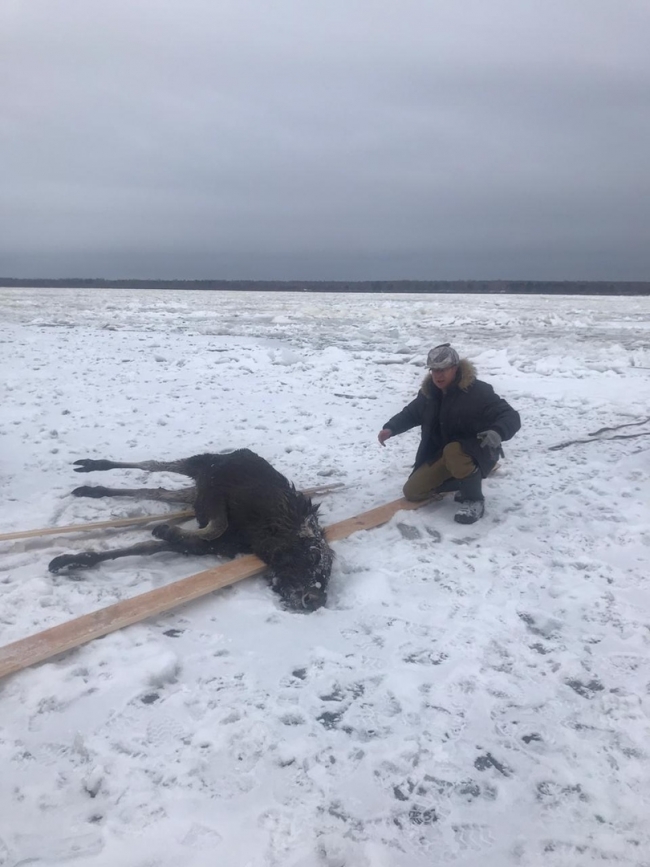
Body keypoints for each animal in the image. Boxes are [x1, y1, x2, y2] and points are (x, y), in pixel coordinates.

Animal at [49, 450, 334, 612]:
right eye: (313, 557)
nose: (315, 600)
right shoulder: (217, 488)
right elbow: (216, 525)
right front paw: (165, 529)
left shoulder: (212, 540)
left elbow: (146, 547)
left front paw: (70, 560)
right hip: (201, 465)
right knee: (152, 464)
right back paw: (90, 466)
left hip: (193, 490)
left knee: (156, 491)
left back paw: (94, 489)